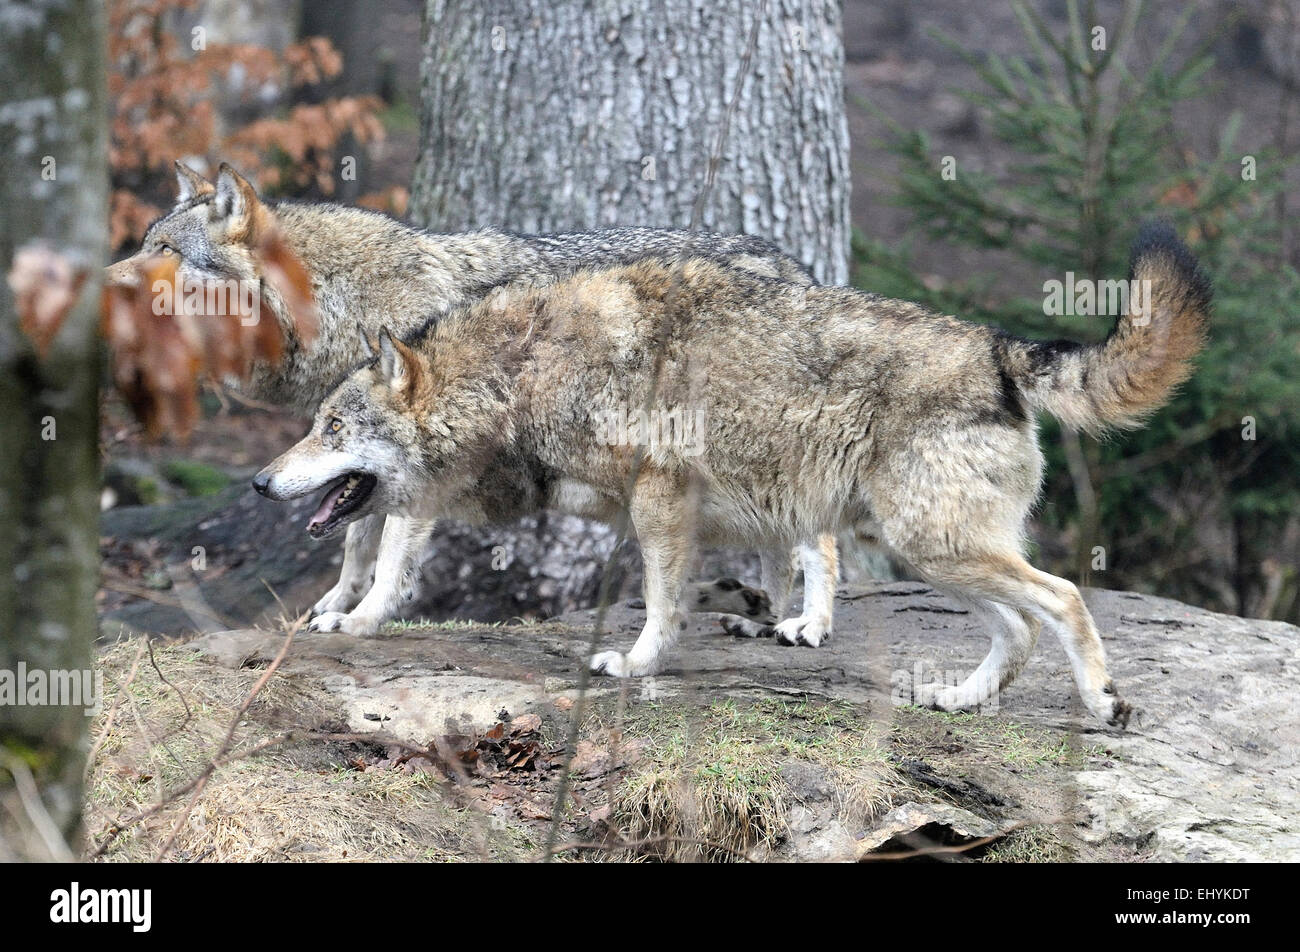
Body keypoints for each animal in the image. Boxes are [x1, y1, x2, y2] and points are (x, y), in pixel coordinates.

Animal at [253, 224, 1206, 728]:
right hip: (927, 551)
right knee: (1017, 629)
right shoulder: (655, 512)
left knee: (1063, 599)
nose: (260, 483)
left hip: (934, 546)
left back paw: (1102, 703)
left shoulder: (659, 499)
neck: (519, 373)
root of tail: (998, 348)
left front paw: (634, 665)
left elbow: (656, 600)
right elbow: (682, 589)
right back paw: (958, 699)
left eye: (331, 429)